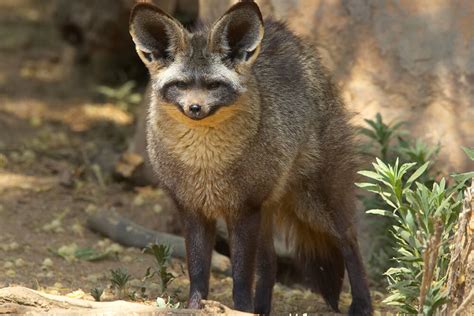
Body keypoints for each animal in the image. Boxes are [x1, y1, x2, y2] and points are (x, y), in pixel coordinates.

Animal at [131, 0, 374, 314]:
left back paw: (362, 304)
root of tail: (284, 32)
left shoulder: (243, 210)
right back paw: (262, 309)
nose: (195, 108)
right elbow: (198, 272)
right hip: (271, 210)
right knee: (270, 264)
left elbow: (241, 276)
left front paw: (241, 308)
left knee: (350, 242)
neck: (205, 163)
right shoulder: (193, 209)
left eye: (213, 86)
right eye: (181, 85)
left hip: (318, 203)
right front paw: (196, 306)